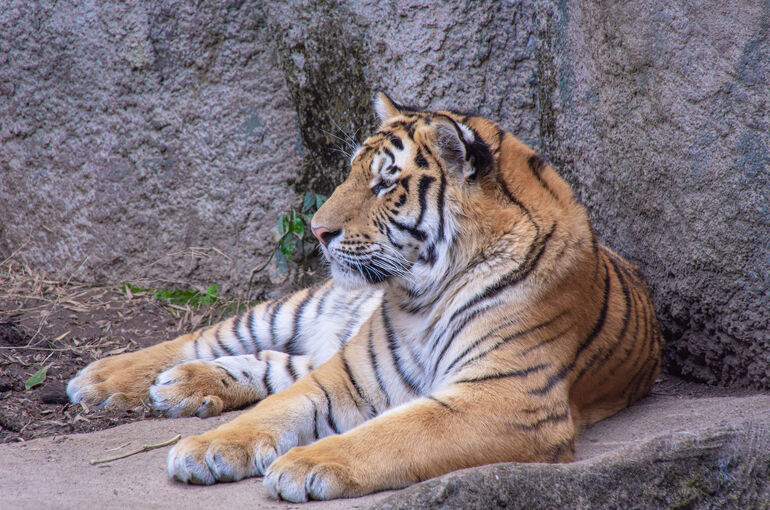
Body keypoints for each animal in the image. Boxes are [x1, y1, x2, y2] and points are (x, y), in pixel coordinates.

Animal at [67, 92, 662, 502]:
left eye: (385, 183)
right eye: (352, 172)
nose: (316, 229)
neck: (422, 297)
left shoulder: (505, 398)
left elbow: (394, 434)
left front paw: (303, 466)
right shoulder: (351, 372)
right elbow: (283, 406)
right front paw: (207, 447)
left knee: (275, 362)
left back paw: (183, 387)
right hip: (296, 311)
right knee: (209, 338)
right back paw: (104, 379)